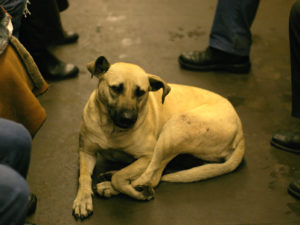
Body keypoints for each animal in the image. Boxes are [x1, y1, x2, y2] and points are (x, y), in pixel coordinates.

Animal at [72, 56, 244, 220]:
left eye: (141, 92)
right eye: (115, 88)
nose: (128, 119)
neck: (112, 129)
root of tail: (240, 131)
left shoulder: (147, 156)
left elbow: (121, 177)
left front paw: (125, 187)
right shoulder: (86, 152)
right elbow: (84, 177)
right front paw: (83, 199)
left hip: (173, 131)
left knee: (152, 176)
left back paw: (119, 186)